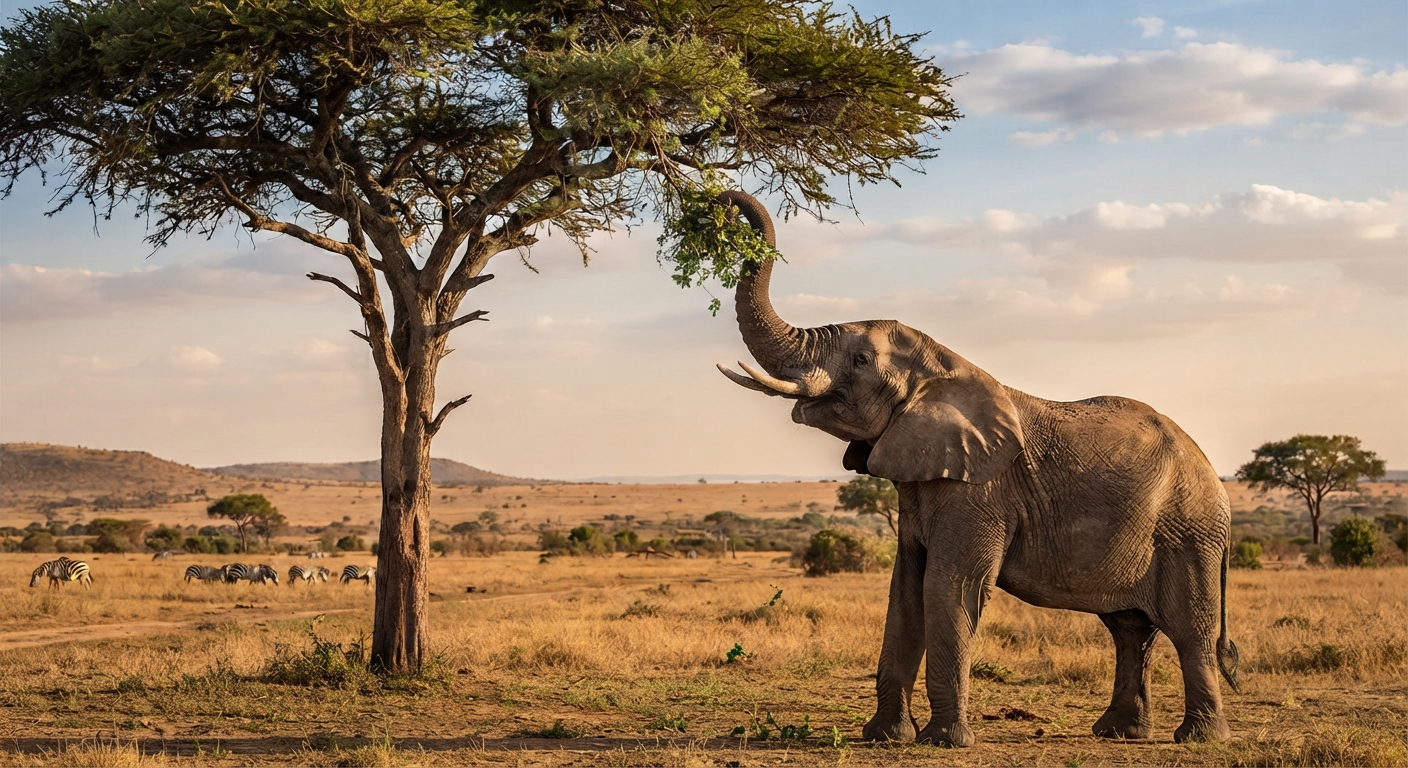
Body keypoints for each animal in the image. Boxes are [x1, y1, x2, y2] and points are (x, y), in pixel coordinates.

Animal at [712, 190, 1240, 747]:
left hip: (1189, 532)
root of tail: (1213, 477)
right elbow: (905, 593)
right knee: (1129, 628)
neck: (944, 366)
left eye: (859, 360)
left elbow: (948, 587)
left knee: (1190, 630)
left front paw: (943, 741)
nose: (722, 200)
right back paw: (1118, 732)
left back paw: (1199, 738)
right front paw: (885, 736)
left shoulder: (981, 493)